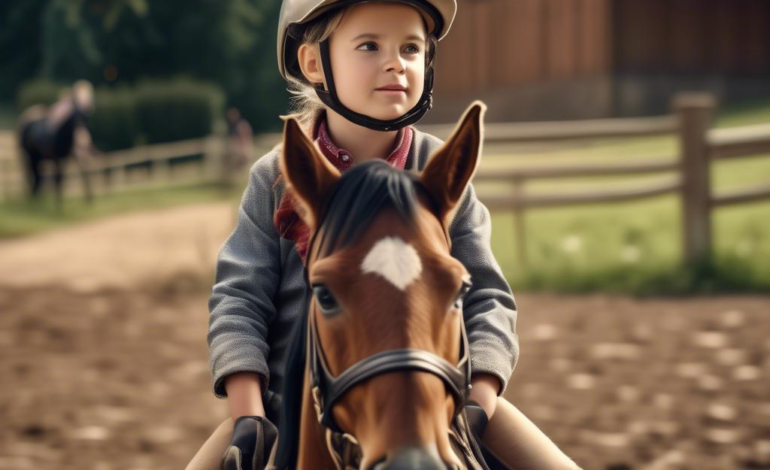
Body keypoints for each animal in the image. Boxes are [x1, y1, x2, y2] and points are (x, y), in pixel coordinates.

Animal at [17, 81, 97, 211]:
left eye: (90, 98)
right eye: (75, 103)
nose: (84, 138)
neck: (60, 134)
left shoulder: (66, 158)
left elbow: (64, 178)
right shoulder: (56, 158)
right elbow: (58, 179)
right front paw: (59, 207)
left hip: (39, 159)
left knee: (38, 178)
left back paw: (38, 201)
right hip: (29, 157)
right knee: (33, 176)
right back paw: (34, 201)